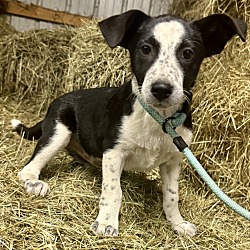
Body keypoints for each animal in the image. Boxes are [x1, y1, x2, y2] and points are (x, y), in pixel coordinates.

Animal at [11, 9, 246, 236]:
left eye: (187, 53)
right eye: (145, 49)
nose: (161, 89)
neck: (158, 117)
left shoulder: (173, 159)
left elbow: (172, 196)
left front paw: (177, 223)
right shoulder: (114, 151)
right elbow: (113, 190)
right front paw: (107, 222)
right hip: (59, 131)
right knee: (29, 167)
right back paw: (34, 182)